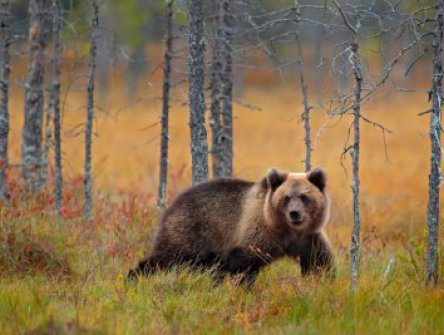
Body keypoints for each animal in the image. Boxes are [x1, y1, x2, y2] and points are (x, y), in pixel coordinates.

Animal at [127, 168, 332, 288]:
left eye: (304, 196)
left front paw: (323, 281)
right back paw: (134, 277)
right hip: (190, 230)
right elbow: (243, 265)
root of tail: (172, 205)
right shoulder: (257, 233)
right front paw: (242, 288)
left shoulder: (307, 238)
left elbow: (319, 260)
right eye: (287, 197)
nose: (294, 213)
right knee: (166, 258)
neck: (287, 230)